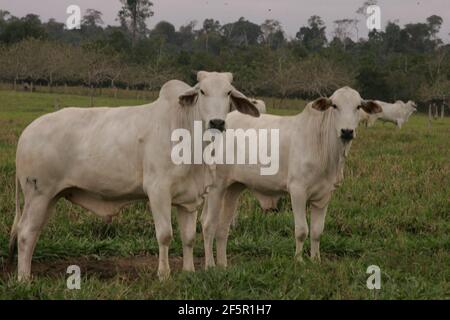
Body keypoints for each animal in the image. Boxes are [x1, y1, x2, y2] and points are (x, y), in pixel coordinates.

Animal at [9, 70, 260, 280]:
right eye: (202, 91)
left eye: (228, 92)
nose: (217, 122)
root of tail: (27, 133)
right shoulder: (158, 192)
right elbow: (165, 235)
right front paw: (164, 274)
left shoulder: (189, 199)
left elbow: (188, 237)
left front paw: (188, 271)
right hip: (38, 194)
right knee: (25, 233)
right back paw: (23, 279)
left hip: (50, 197)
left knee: (32, 232)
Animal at [202, 87, 382, 268]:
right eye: (334, 106)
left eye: (358, 107)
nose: (347, 132)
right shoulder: (298, 191)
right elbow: (302, 230)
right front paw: (299, 260)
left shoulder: (324, 196)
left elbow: (317, 231)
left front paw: (316, 259)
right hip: (216, 186)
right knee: (208, 225)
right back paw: (210, 265)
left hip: (233, 187)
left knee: (223, 228)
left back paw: (223, 265)